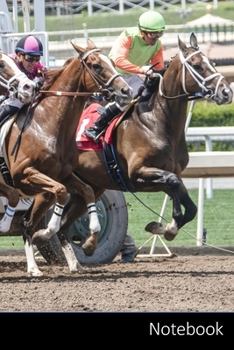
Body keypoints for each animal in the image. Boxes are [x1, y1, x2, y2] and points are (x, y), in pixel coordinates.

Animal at [1, 39, 133, 276]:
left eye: (110, 61)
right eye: (96, 65)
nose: (125, 91)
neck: (48, 125)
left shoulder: (61, 176)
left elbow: (84, 192)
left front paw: (89, 239)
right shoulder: (23, 174)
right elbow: (61, 195)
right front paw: (47, 232)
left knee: (27, 222)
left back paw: (46, 265)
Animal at [49, 33, 232, 260]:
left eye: (212, 63)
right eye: (197, 65)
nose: (227, 93)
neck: (156, 122)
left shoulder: (169, 174)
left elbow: (188, 205)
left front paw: (164, 227)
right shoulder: (137, 173)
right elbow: (172, 184)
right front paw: (168, 226)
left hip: (90, 186)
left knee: (64, 224)